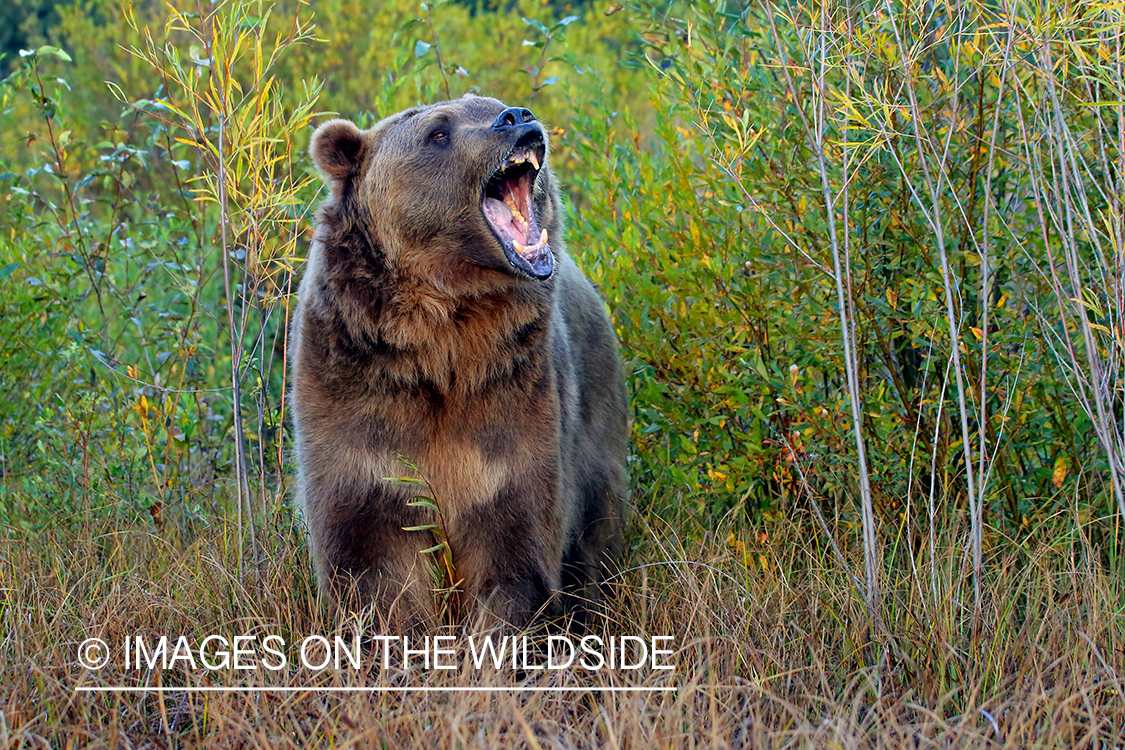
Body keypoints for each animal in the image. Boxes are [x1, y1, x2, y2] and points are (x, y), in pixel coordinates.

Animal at [290, 95, 630, 634]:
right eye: (438, 132)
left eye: (489, 104)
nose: (516, 117)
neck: (441, 340)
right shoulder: (357, 392)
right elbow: (371, 559)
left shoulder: (508, 394)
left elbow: (515, 552)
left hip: (595, 419)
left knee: (596, 532)